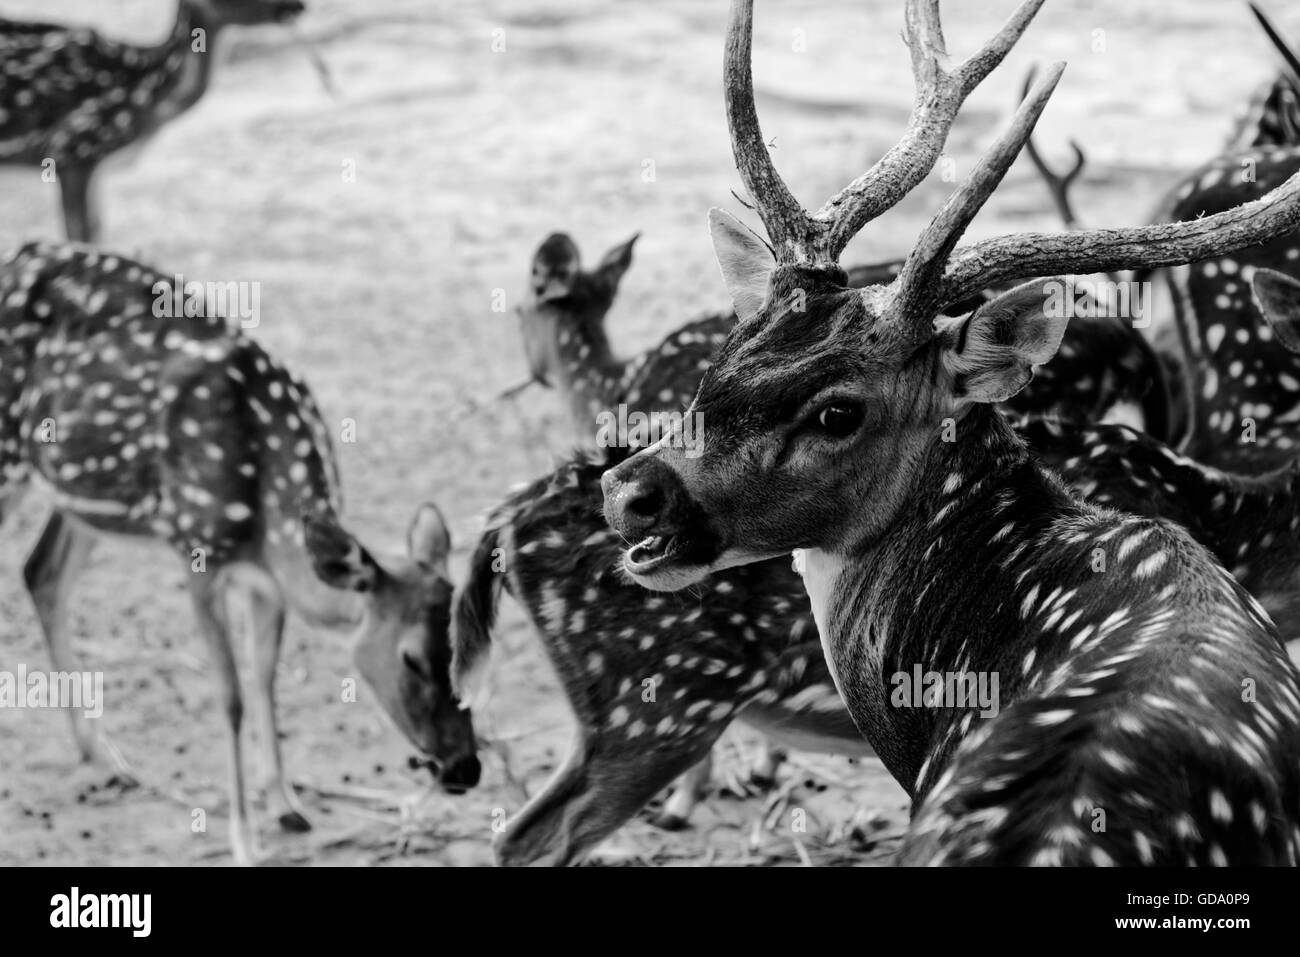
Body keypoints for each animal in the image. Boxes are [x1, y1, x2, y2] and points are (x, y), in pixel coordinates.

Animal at [0, 242, 479, 865]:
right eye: (412, 659)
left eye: (465, 651)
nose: (466, 768)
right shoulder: (196, 545)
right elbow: (230, 695)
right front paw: (244, 840)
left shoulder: (265, 580)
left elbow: (264, 678)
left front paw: (285, 802)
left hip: (80, 493)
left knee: (41, 572)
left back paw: (104, 756)